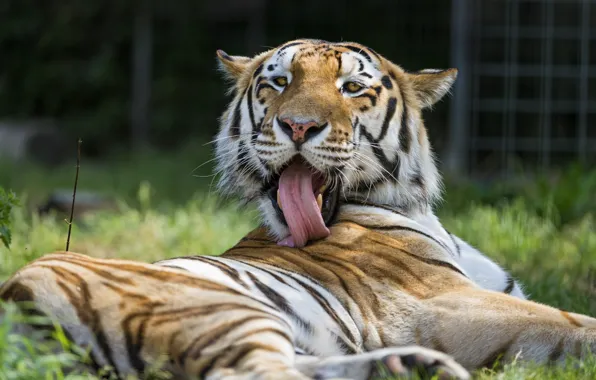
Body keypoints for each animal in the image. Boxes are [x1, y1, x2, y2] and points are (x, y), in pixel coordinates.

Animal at [1, 39, 596, 380]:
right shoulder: (440, 304)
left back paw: (412, 367)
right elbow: (575, 324)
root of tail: (17, 297)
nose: (298, 125)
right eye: (279, 82)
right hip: (222, 310)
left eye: (352, 87)